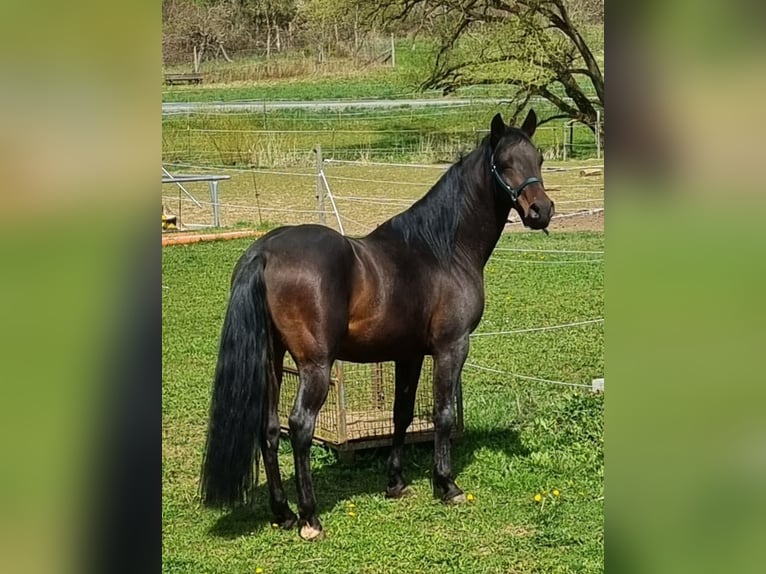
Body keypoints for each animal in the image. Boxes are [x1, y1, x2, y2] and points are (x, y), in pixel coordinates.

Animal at [200, 109, 554, 540]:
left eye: (538, 158)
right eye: (503, 163)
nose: (541, 211)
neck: (442, 250)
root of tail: (264, 252)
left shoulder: (409, 355)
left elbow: (402, 414)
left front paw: (395, 483)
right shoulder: (451, 348)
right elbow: (442, 413)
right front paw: (447, 485)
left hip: (272, 361)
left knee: (269, 431)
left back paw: (283, 514)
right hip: (315, 367)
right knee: (299, 426)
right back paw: (310, 518)